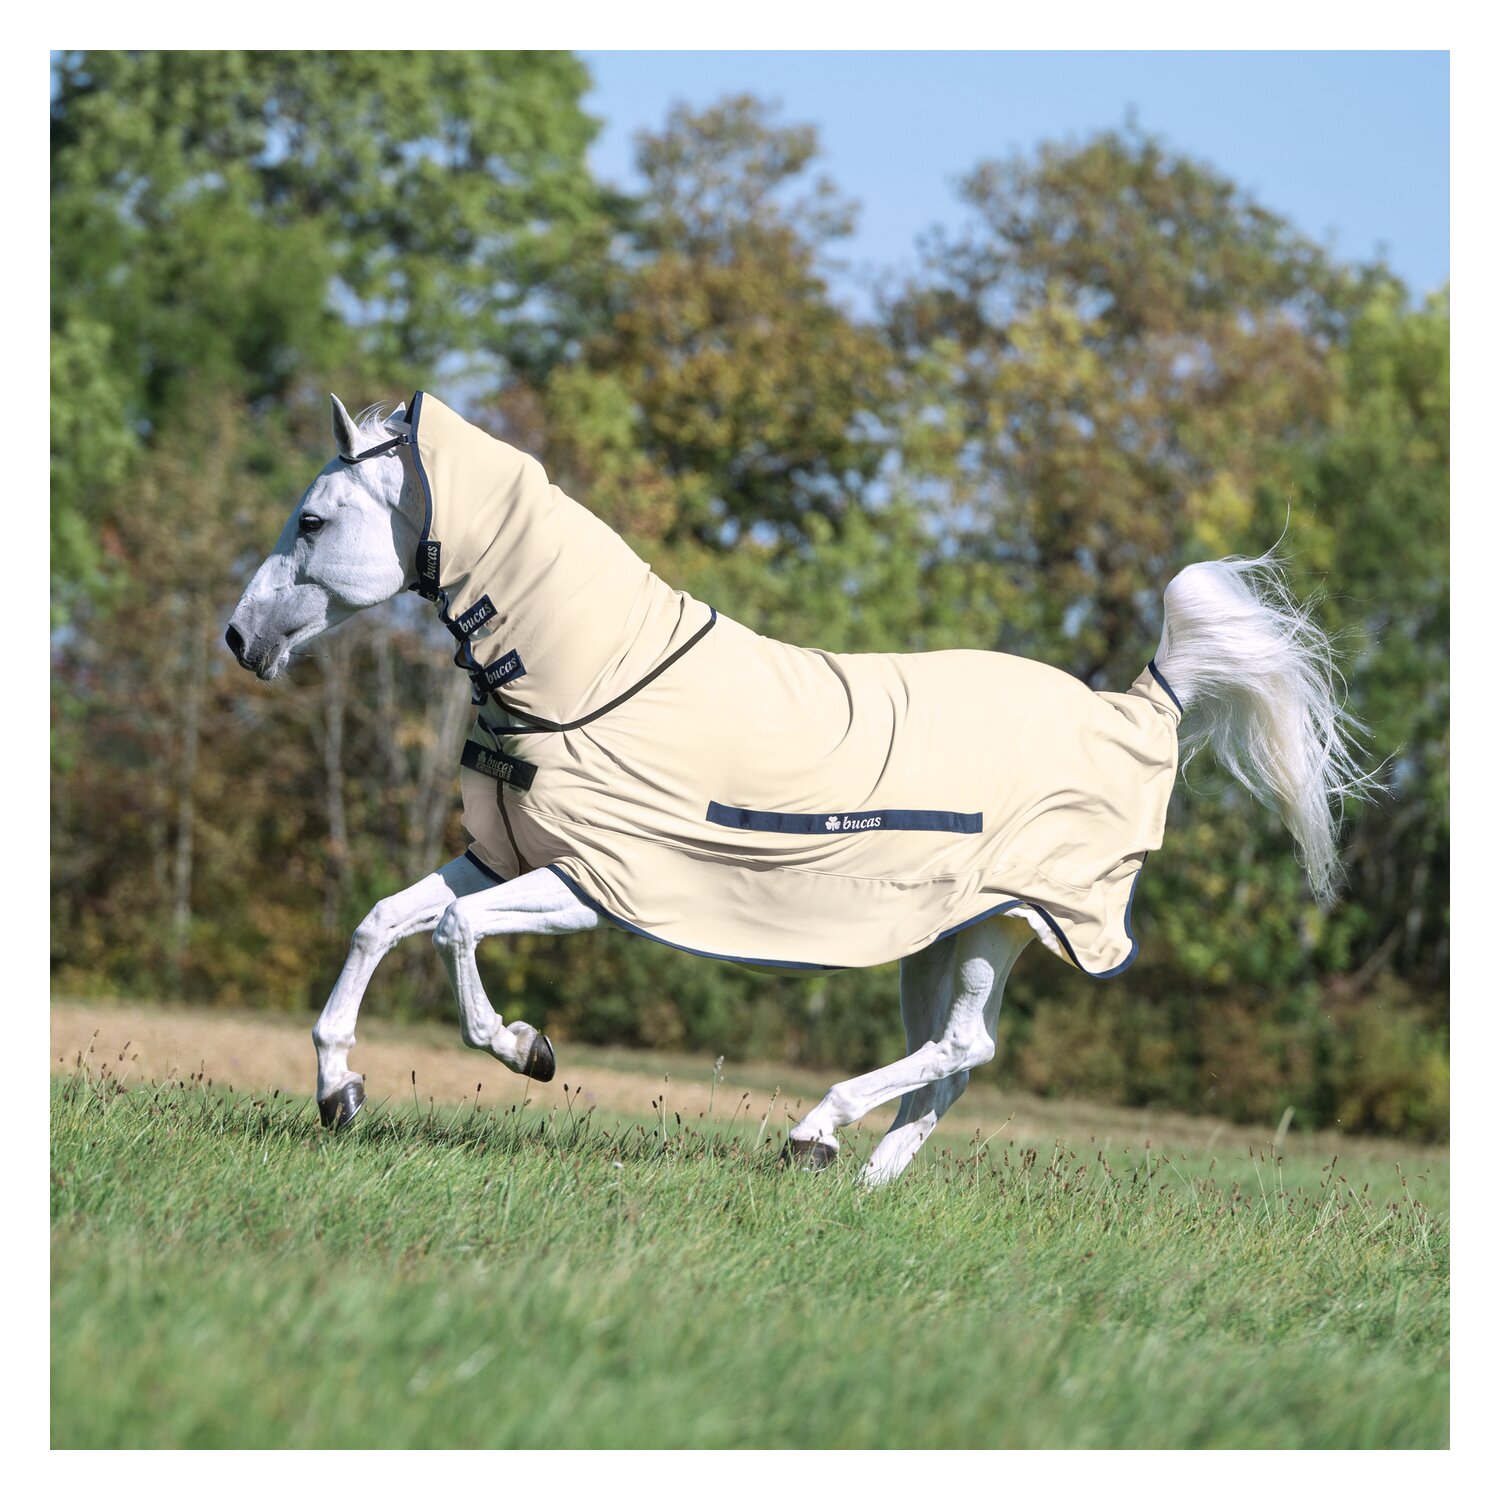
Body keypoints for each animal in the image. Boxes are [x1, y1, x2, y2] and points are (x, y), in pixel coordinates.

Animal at [225, 392, 1368, 1183]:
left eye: (315, 520)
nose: (238, 639)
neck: (592, 682)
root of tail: (1143, 707)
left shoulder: (590, 886)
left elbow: (456, 935)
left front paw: (527, 1051)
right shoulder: (503, 856)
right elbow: (384, 920)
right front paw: (339, 1091)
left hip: (1006, 924)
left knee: (963, 1043)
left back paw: (814, 1133)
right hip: (944, 935)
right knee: (955, 1057)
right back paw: (863, 1179)